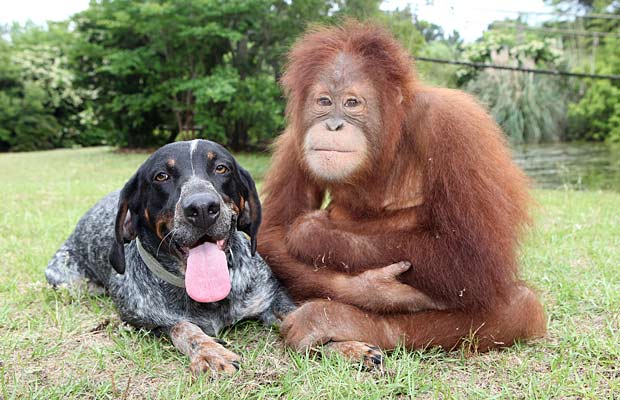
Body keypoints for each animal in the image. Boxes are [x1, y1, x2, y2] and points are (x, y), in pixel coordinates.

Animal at [46, 139, 294, 376]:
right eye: (161, 176)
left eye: (221, 168)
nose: (202, 208)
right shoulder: (146, 322)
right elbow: (184, 328)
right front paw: (209, 352)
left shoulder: (272, 296)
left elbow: (293, 313)